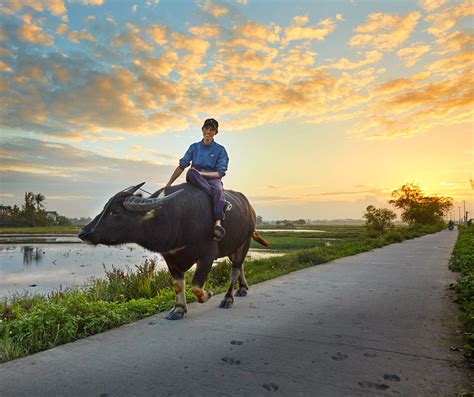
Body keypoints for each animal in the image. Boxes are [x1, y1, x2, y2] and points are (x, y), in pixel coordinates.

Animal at [79, 182, 268, 318]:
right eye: (105, 208)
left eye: (115, 212)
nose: (84, 233)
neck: (178, 218)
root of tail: (249, 209)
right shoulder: (171, 258)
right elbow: (178, 285)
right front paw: (178, 309)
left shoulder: (208, 255)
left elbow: (196, 286)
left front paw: (208, 293)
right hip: (232, 247)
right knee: (240, 265)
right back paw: (242, 288)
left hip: (245, 241)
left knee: (234, 270)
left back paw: (228, 298)